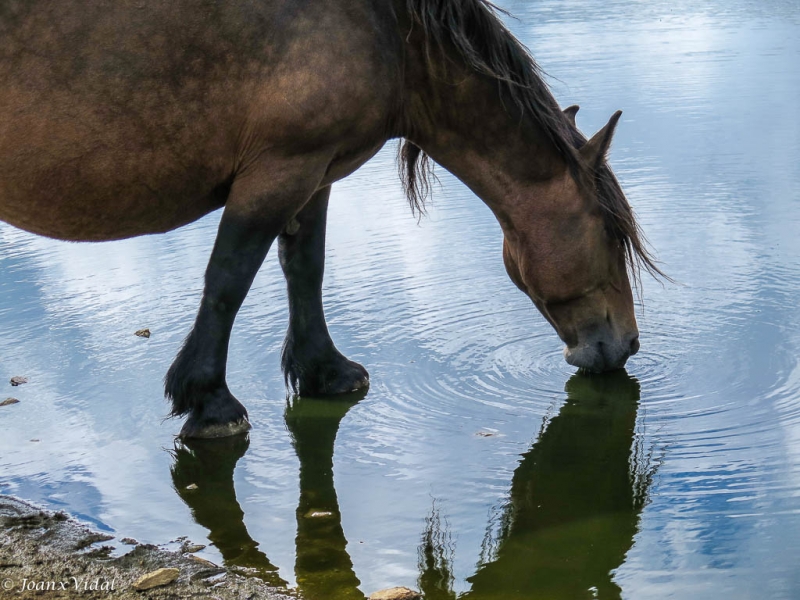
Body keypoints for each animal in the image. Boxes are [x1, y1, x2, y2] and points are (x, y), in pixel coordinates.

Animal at [1, 1, 656, 440]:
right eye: (611, 233)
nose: (626, 344)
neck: (389, 36)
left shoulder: (314, 174)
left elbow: (305, 268)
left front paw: (326, 372)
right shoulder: (279, 170)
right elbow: (228, 281)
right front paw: (210, 403)